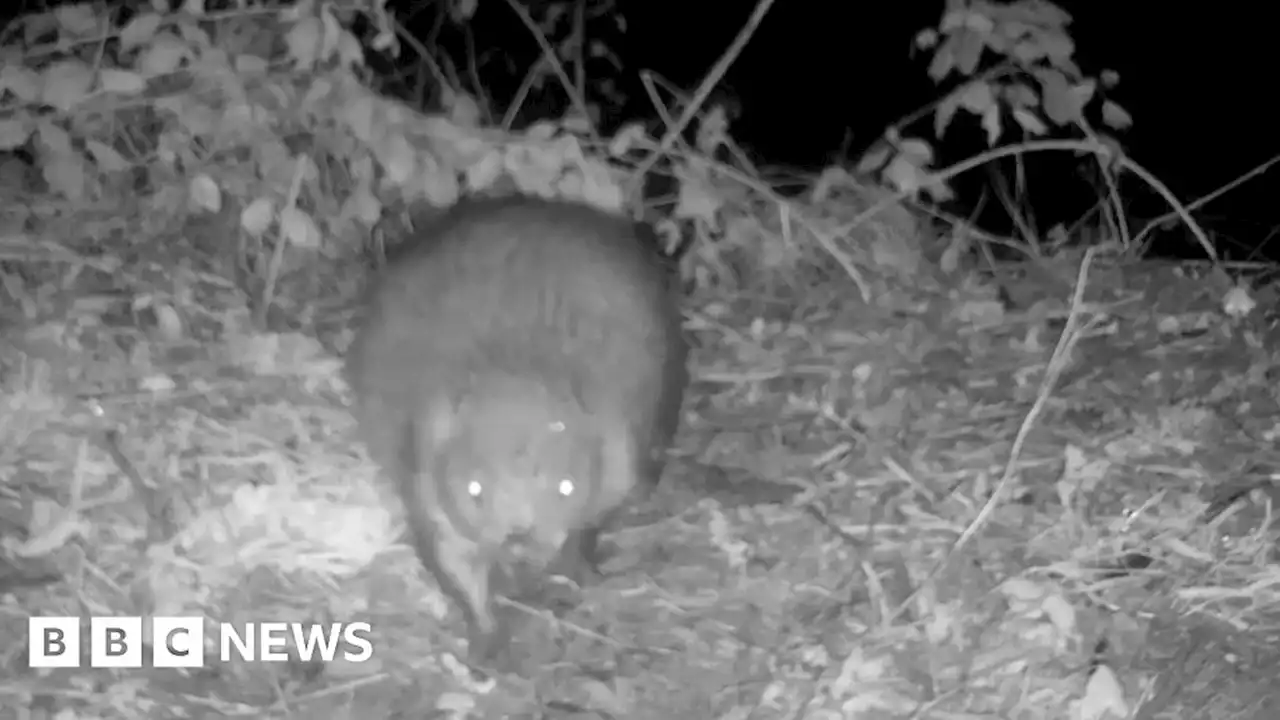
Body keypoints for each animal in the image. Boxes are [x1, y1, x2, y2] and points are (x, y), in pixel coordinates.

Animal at [345, 194, 691, 661]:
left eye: (565, 487)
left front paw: (573, 571)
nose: (519, 540)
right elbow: (451, 557)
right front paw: (487, 636)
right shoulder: (424, 468)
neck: (516, 368)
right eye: (475, 489)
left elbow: (593, 518)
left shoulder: (616, 440)